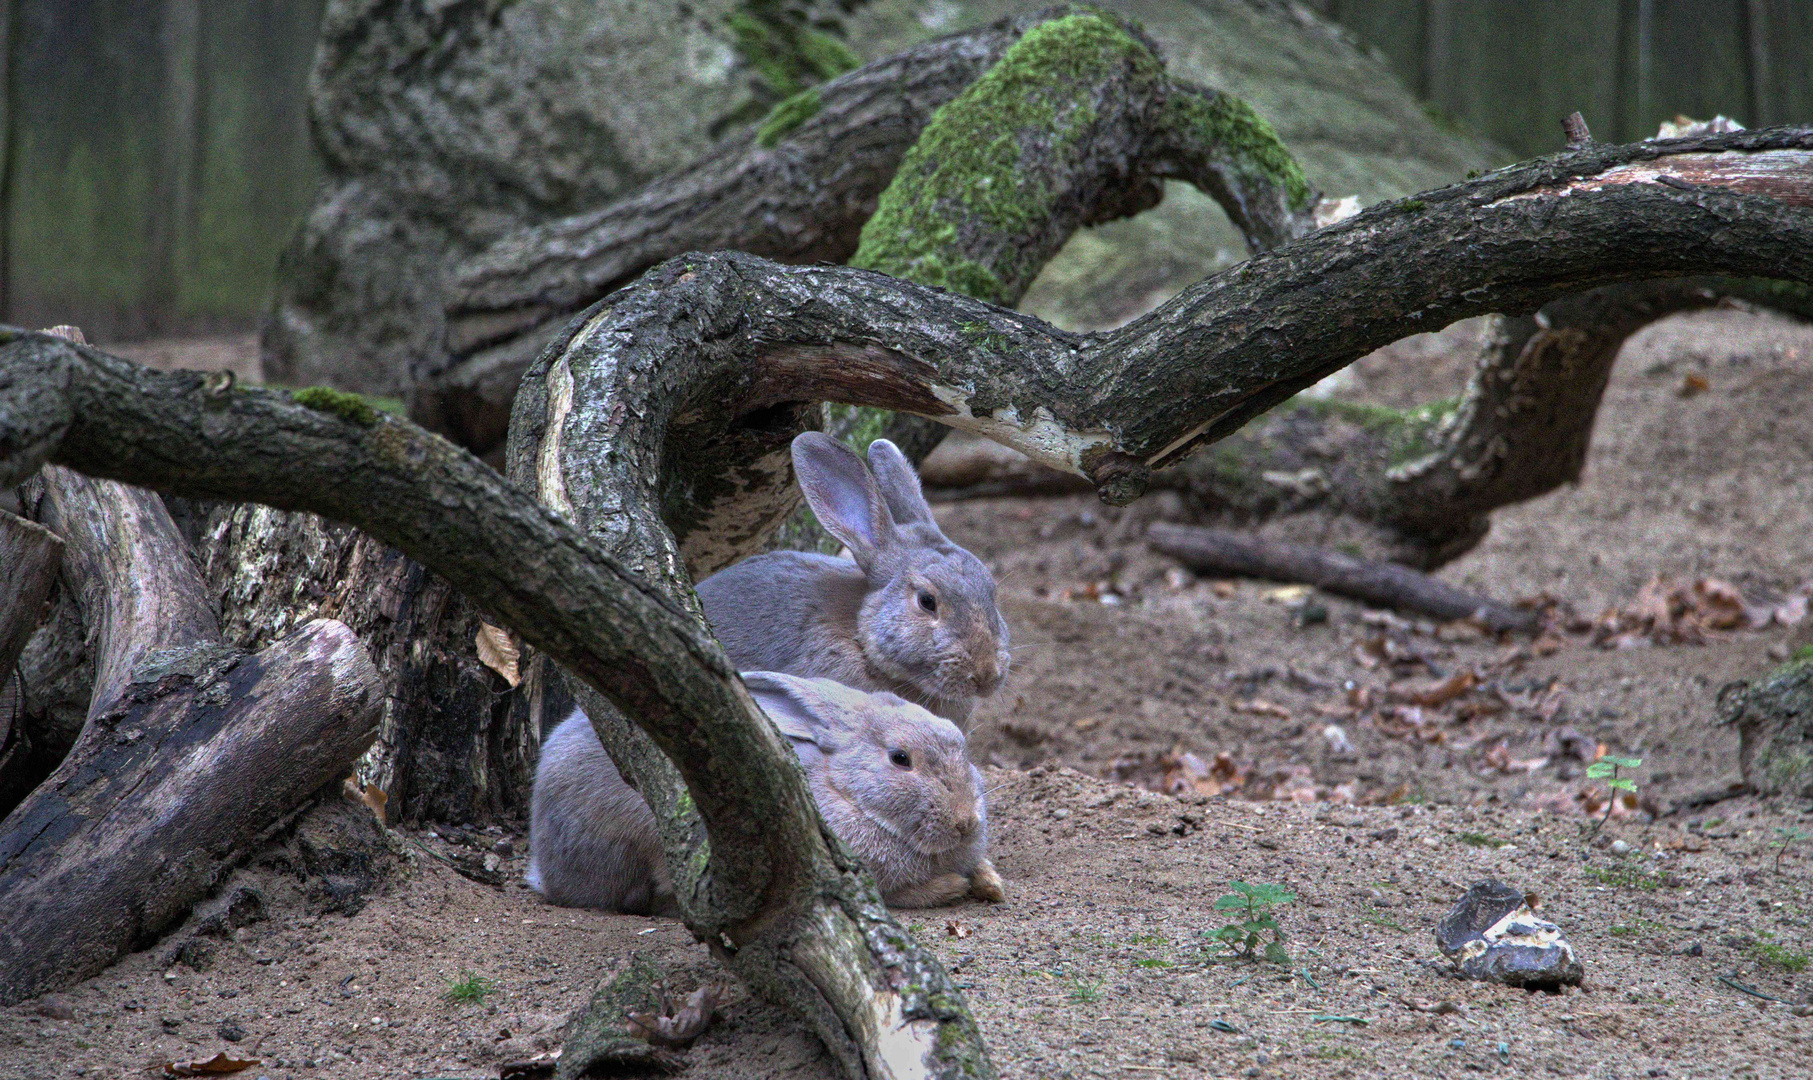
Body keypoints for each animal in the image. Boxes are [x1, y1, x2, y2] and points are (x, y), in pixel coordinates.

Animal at [525, 674, 1008, 909]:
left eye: (957, 740)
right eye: (900, 758)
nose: (965, 822)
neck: (847, 792)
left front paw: (990, 883)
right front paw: (953, 886)